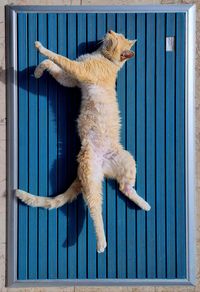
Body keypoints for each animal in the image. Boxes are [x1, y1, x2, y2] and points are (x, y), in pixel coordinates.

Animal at [16, 30, 150, 253]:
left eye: (116, 36)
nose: (109, 30)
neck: (106, 59)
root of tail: (103, 166)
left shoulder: (80, 71)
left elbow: (58, 57)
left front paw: (40, 48)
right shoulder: (71, 80)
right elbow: (53, 66)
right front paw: (38, 70)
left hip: (97, 174)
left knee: (95, 208)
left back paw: (101, 242)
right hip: (127, 163)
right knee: (124, 188)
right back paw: (143, 204)